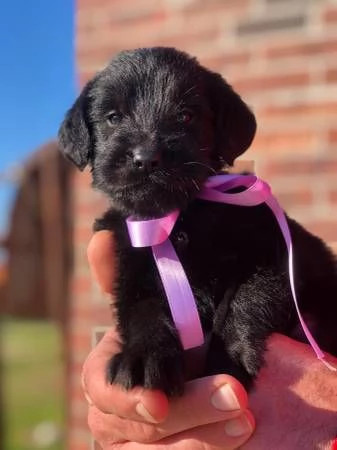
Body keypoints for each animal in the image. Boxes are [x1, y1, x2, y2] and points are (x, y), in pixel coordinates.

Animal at [57, 47, 336, 396]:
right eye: (113, 117)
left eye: (186, 115)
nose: (146, 158)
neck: (178, 218)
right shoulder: (132, 264)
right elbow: (142, 308)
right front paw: (143, 355)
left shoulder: (278, 255)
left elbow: (246, 297)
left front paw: (228, 357)